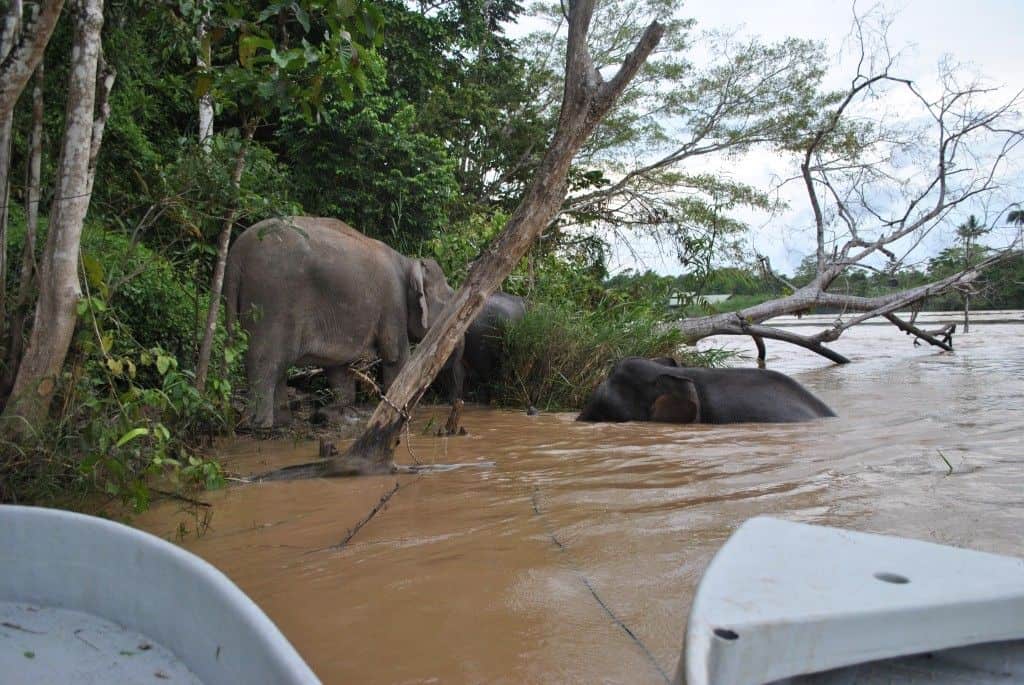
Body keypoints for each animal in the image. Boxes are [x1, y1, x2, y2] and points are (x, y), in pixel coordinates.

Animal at [230, 216, 458, 427]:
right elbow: (397, 359)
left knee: (279, 364)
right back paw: (259, 425)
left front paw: (330, 414)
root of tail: (237, 252)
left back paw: (282, 421)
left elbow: (339, 367)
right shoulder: (394, 306)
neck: (407, 260)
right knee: (267, 360)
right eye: (449, 300)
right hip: (271, 299)